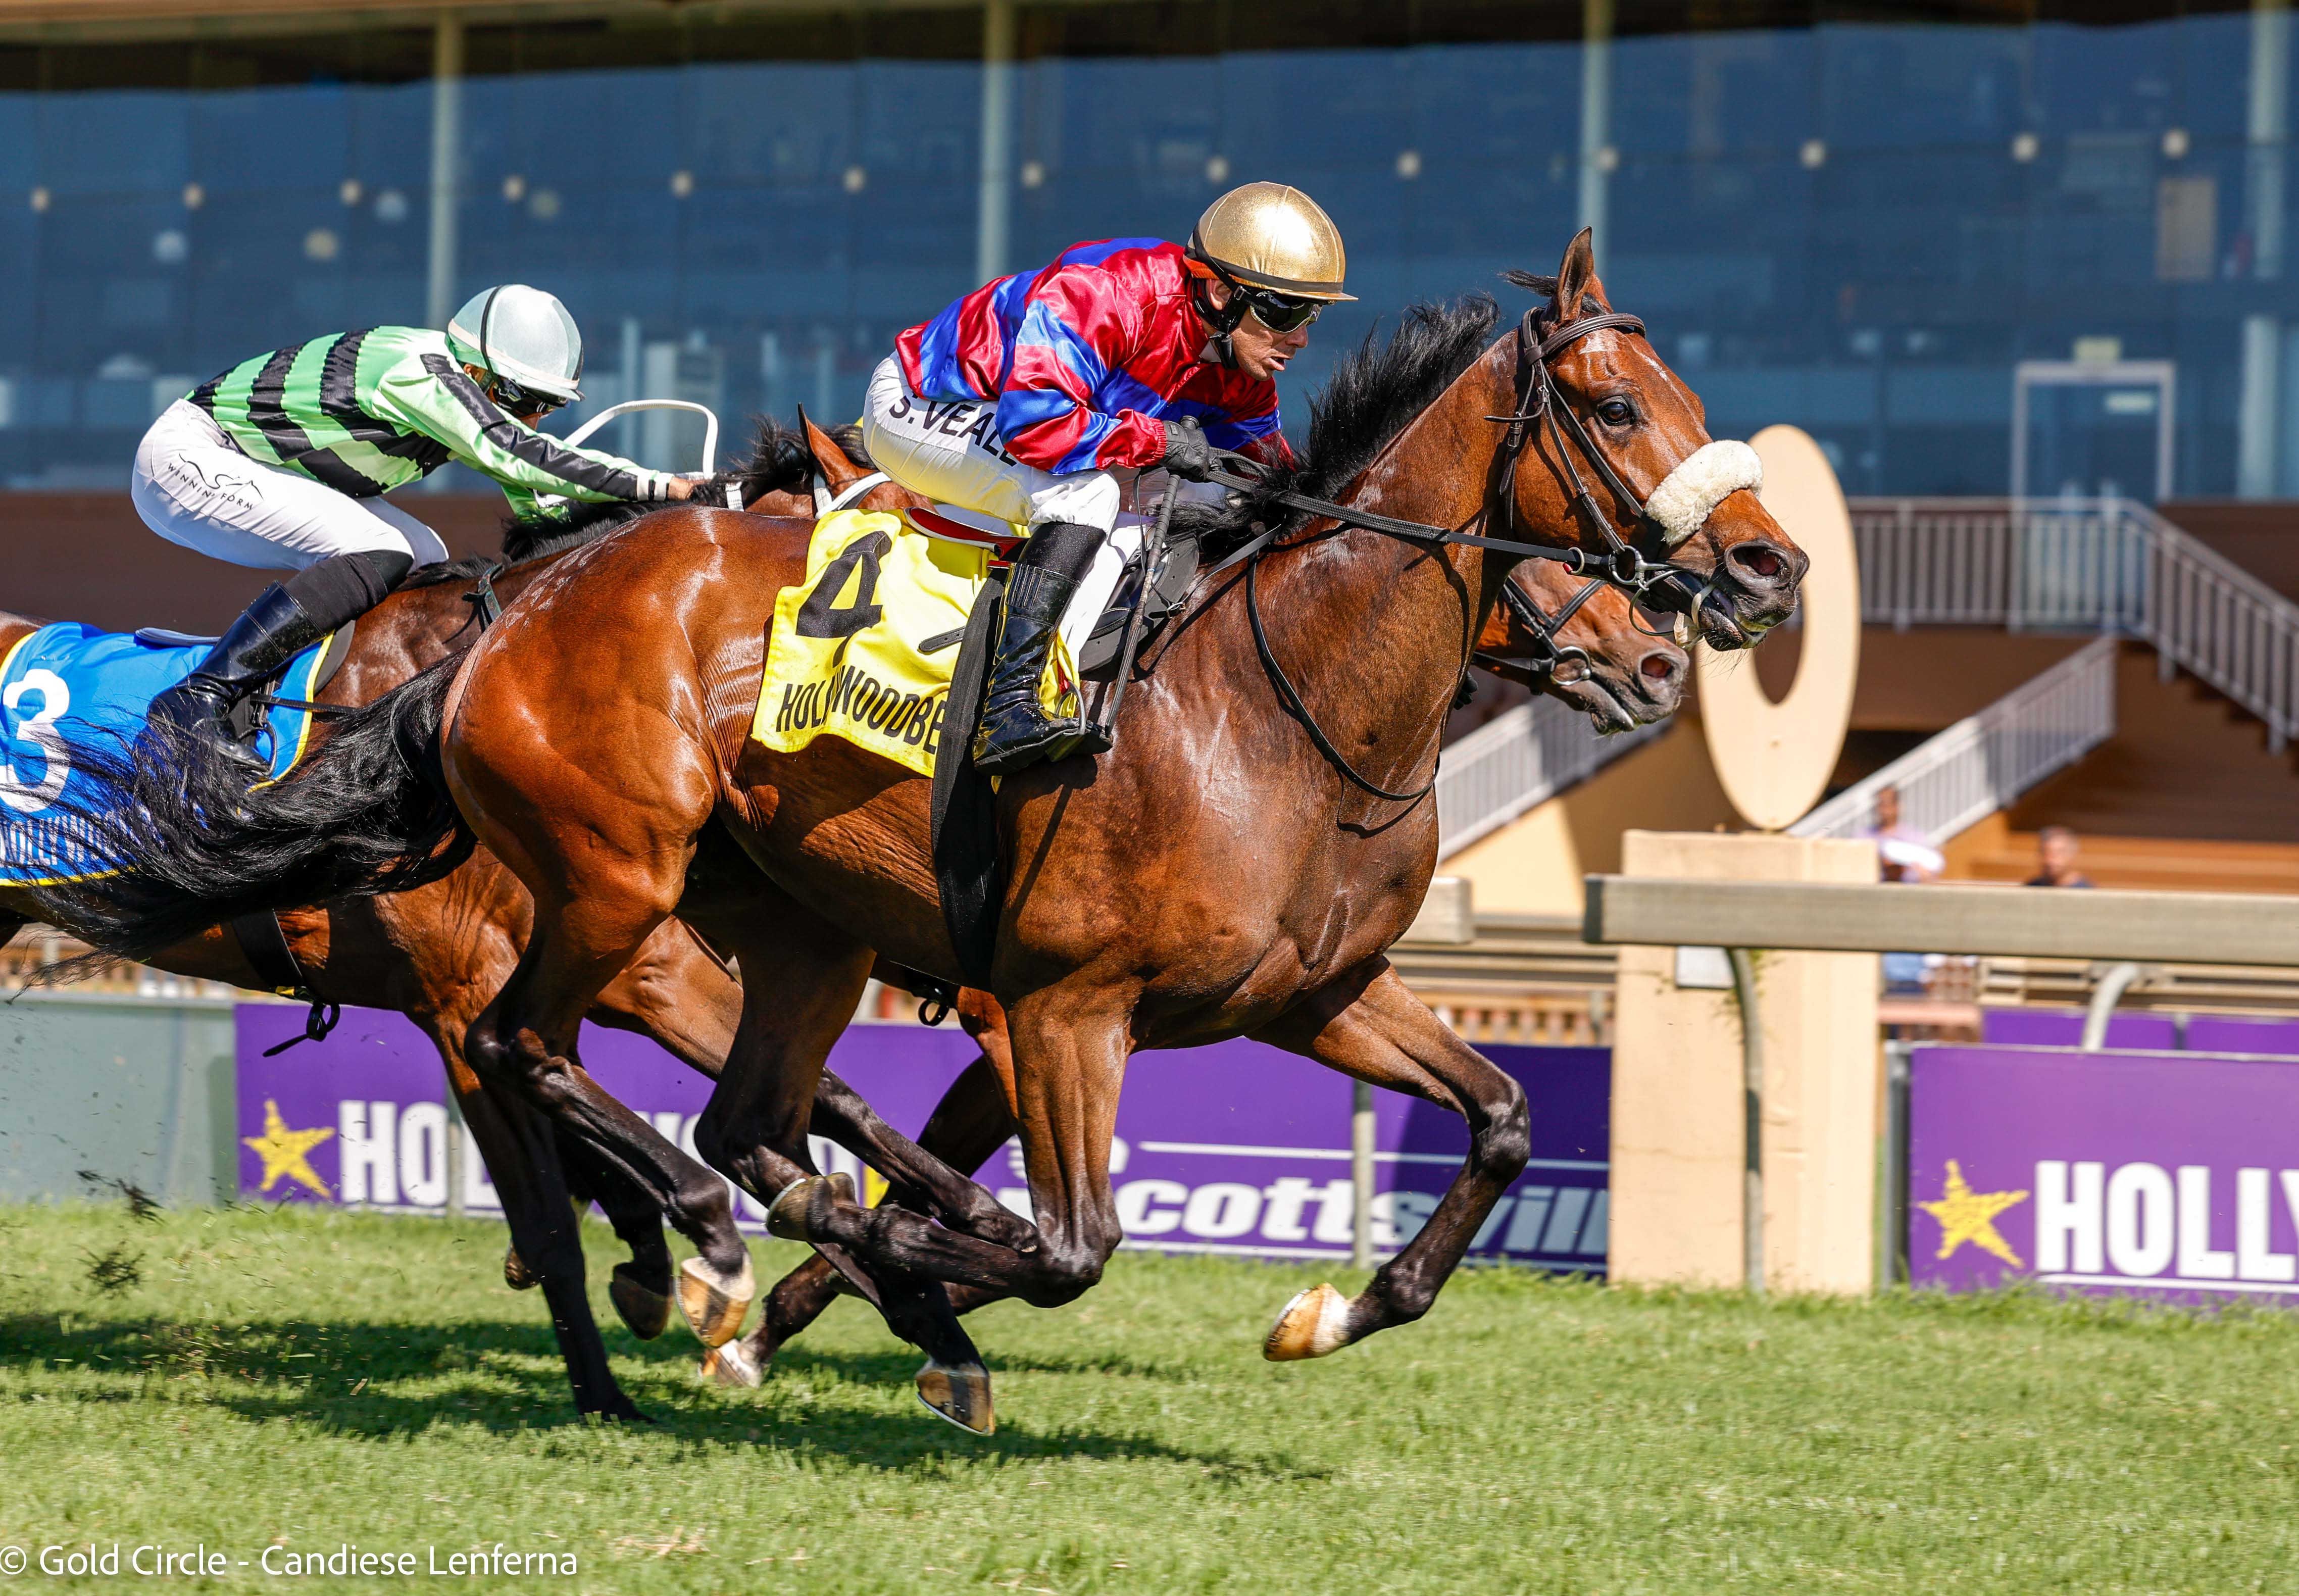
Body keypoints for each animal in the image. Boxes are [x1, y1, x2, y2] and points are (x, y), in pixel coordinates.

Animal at [28, 236, 1802, 1431]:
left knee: (747, 1120)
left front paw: (1326, 1308)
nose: (1764, 574)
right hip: (616, 886)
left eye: (1686, 392)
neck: (1273, 705)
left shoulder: (1308, 993)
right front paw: (887, 1287)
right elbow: (1067, 1239)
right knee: (544, 1058)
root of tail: (504, 620)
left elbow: (1500, 1117)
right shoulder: (1058, 1007)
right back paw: (705, 1257)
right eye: (1610, 406)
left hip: (789, 931)